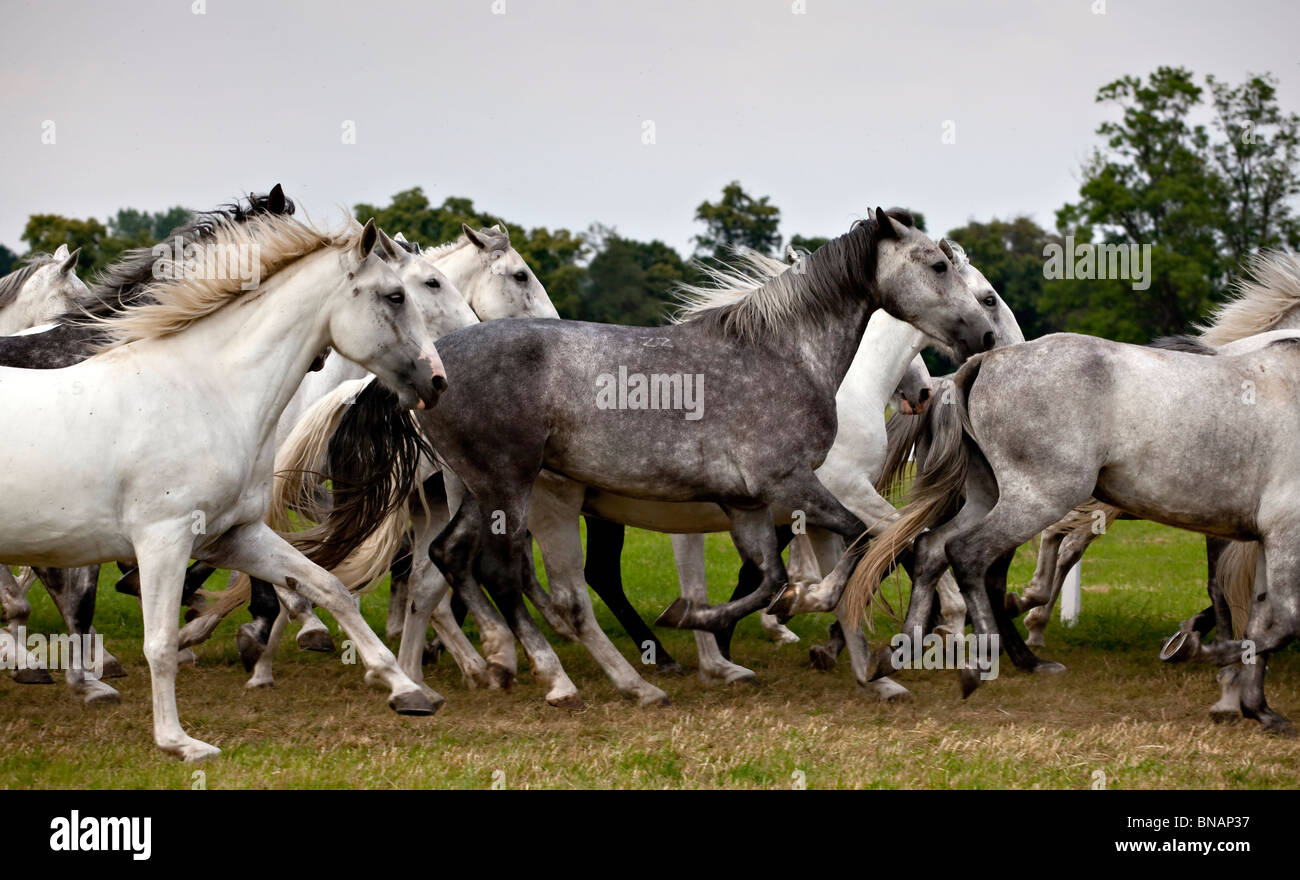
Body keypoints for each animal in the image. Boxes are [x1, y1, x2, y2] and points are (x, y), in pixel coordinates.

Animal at [0, 210, 444, 753]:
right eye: (396, 295)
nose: (437, 381)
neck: (205, 391)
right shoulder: (164, 541)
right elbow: (160, 643)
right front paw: (178, 742)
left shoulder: (234, 536)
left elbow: (327, 586)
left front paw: (406, 690)